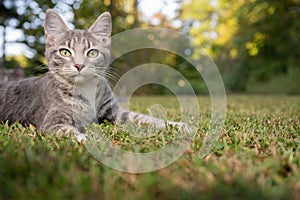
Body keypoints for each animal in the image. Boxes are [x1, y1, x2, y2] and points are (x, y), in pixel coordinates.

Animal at [0, 9, 179, 140]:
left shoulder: (115, 111)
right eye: (65, 52)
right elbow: (68, 131)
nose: (79, 65)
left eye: (92, 53)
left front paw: (177, 125)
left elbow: (144, 118)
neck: (85, 90)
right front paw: (89, 141)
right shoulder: (52, 121)